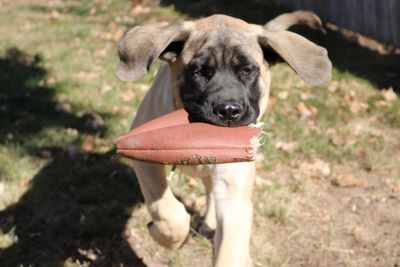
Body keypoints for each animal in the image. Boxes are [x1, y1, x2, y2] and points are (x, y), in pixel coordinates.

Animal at [115, 11, 332, 267]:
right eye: (198, 72)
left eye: (247, 71)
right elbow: (169, 210)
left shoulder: (233, 192)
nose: (229, 111)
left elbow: (230, 249)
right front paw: (167, 237)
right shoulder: (143, 160)